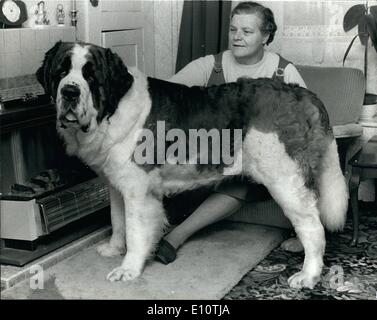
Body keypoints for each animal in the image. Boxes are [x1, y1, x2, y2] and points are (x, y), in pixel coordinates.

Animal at [36, 41, 348, 288]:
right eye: (61, 72)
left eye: (91, 77)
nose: (70, 92)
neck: (112, 109)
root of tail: (302, 94)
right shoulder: (117, 183)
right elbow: (117, 220)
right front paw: (113, 249)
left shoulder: (138, 190)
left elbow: (135, 229)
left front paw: (129, 269)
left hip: (284, 179)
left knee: (312, 225)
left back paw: (308, 275)